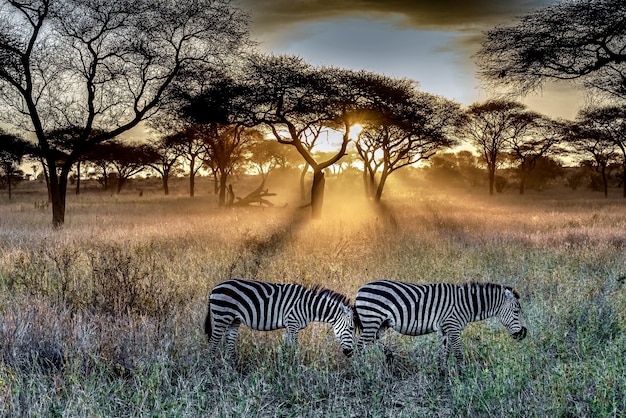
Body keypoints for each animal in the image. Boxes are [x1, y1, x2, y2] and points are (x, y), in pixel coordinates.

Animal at [202, 278, 354, 360]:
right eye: (351, 328)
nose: (350, 353)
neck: (308, 306)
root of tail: (214, 288)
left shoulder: (289, 325)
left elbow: (284, 347)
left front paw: (283, 365)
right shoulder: (293, 323)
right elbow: (295, 347)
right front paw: (297, 367)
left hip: (234, 320)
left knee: (229, 342)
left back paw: (234, 367)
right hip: (222, 316)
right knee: (213, 342)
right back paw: (212, 366)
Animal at [354, 280, 524, 374]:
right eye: (516, 312)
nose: (524, 334)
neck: (466, 305)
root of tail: (361, 289)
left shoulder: (446, 329)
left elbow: (445, 353)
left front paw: (443, 373)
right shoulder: (453, 327)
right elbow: (458, 354)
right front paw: (462, 375)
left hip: (381, 323)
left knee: (373, 341)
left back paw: (388, 356)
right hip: (372, 321)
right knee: (359, 346)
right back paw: (361, 370)